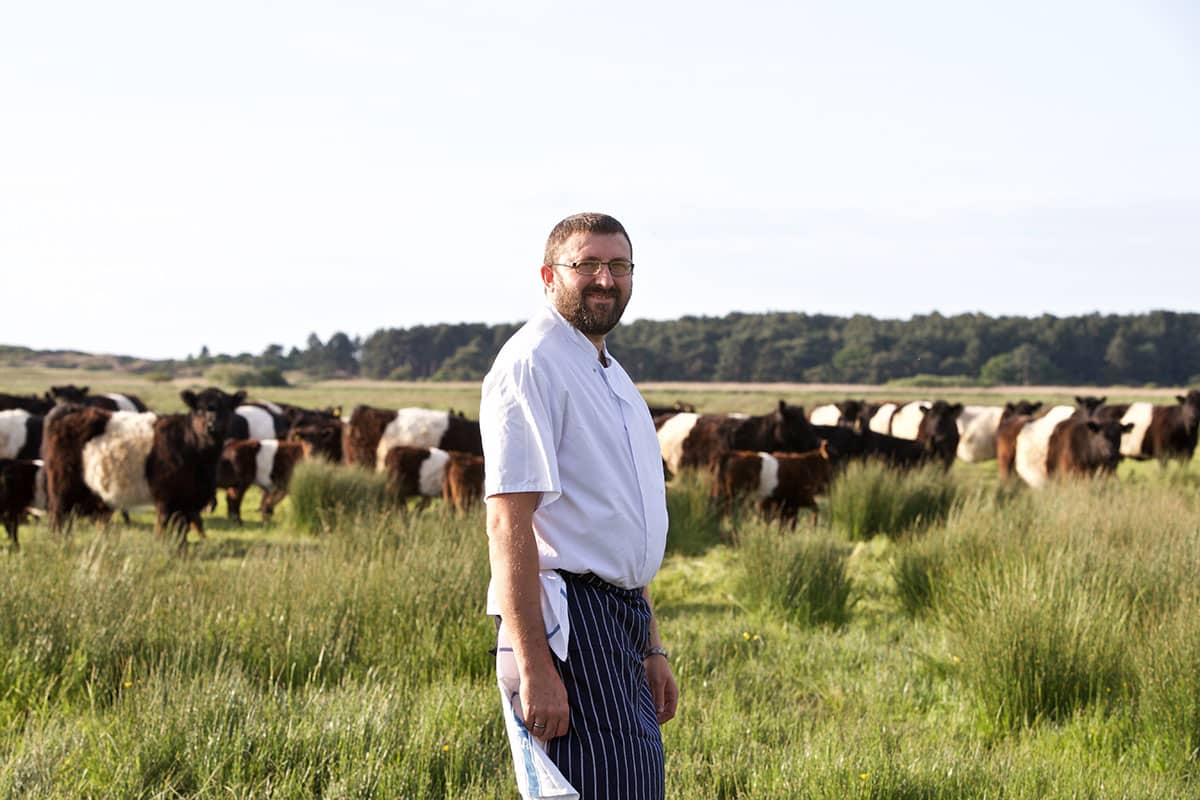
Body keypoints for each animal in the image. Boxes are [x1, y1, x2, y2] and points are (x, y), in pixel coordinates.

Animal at [43, 388, 244, 544]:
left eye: (227, 408)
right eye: (199, 409)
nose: (212, 426)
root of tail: (72, 410)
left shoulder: (188, 499)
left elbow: (182, 529)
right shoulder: (166, 495)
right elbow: (164, 523)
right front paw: (164, 547)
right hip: (63, 485)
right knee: (58, 515)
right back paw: (59, 543)